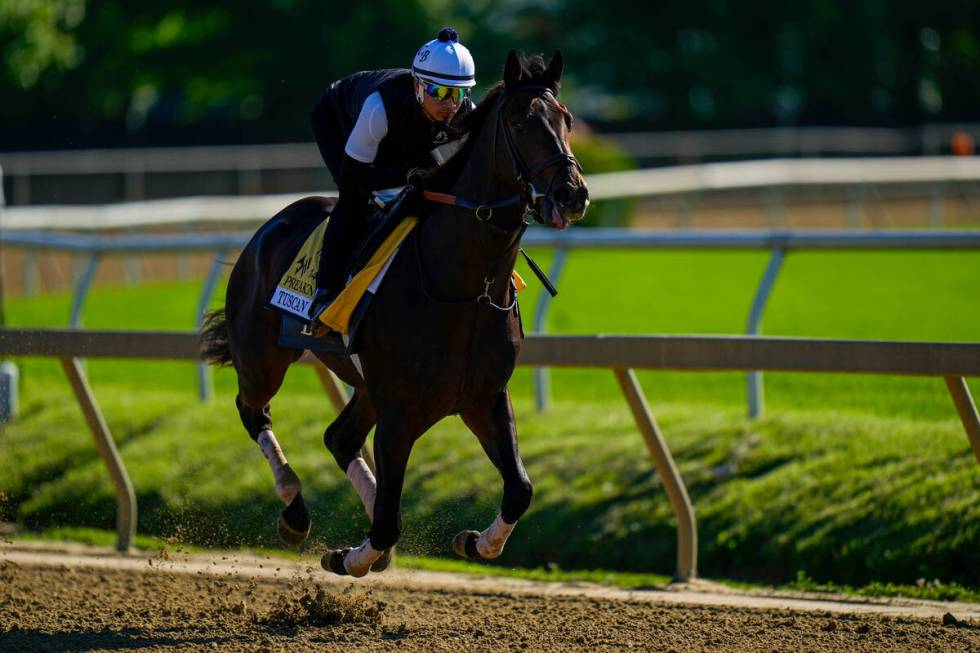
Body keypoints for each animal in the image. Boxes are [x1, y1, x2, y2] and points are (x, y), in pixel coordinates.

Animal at [195, 51, 584, 576]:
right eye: (521, 122)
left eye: (566, 119)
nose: (572, 193)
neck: (465, 289)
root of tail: (265, 230)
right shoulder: (400, 412)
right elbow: (386, 524)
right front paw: (349, 557)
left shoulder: (483, 397)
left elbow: (519, 489)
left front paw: (474, 543)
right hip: (263, 359)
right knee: (253, 410)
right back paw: (294, 509)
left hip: (366, 387)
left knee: (339, 438)